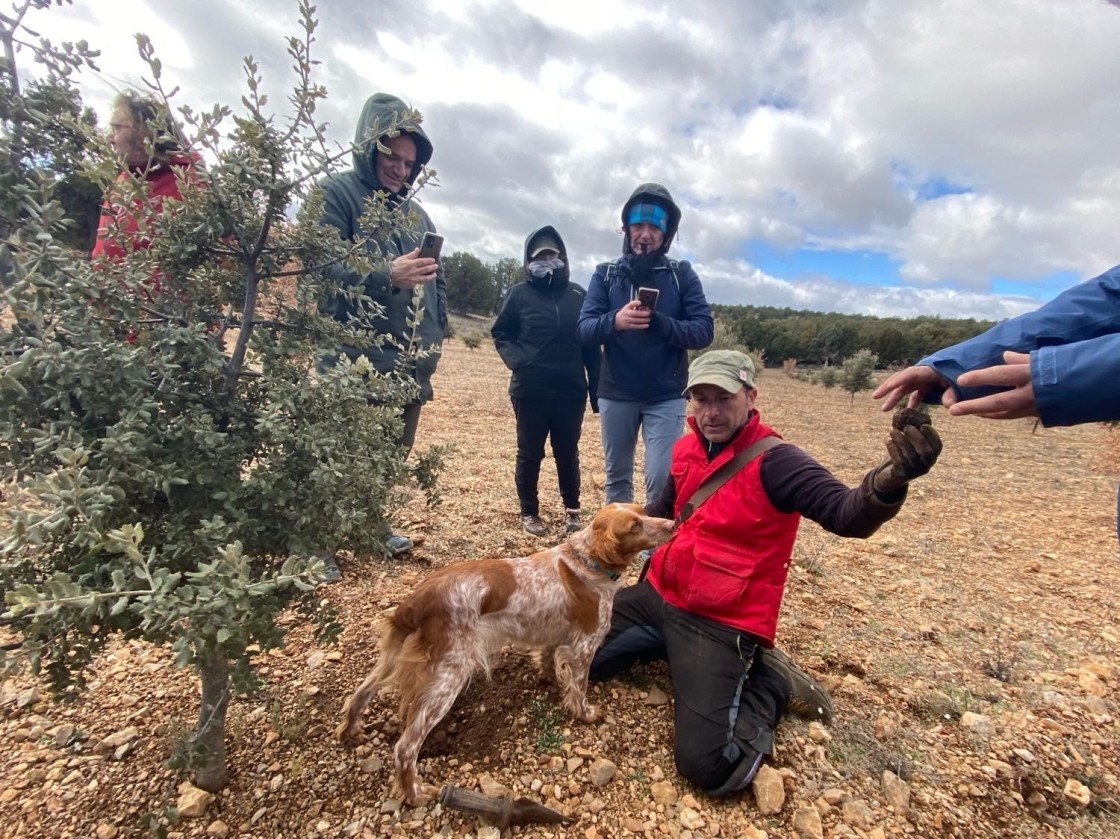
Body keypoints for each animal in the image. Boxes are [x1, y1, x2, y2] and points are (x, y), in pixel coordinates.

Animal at [331, 501, 672, 802]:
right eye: (635, 526)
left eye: (643, 511)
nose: (671, 524)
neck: (585, 561)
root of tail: (419, 598)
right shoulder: (585, 645)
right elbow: (579, 687)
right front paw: (585, 713)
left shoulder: (555, 634)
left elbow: (548, 659)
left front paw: (548, 679)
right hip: (449, 675)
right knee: (405, 747)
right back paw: (414, 794)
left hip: (397, 658)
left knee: (361, 693)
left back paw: (351, 731)